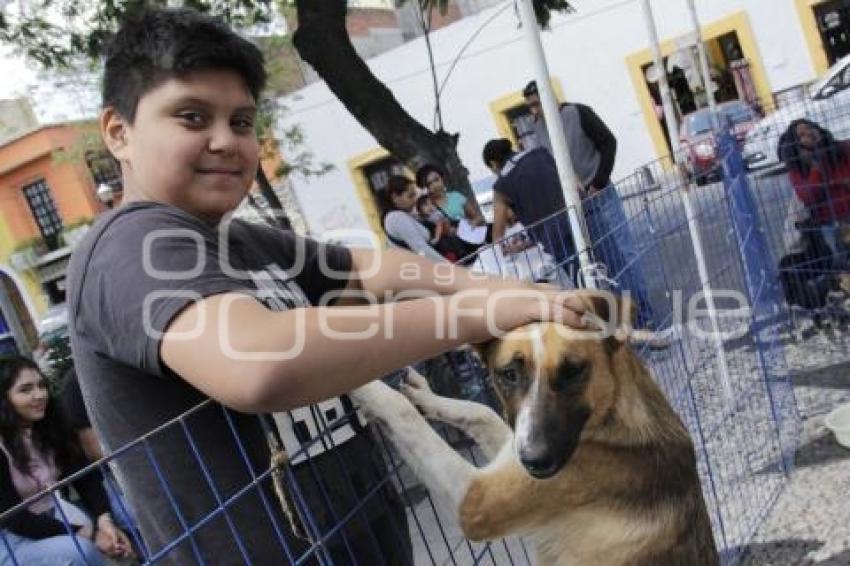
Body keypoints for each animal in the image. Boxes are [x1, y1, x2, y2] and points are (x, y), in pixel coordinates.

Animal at [352, 296, 716, 564]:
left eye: (572, 371)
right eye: (509, 374)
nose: (535, 462)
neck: (613, 413)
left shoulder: (475, 502)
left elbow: (402, 411)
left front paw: (366, 387)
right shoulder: (513, 445)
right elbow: (481, 411)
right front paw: (426, 396)